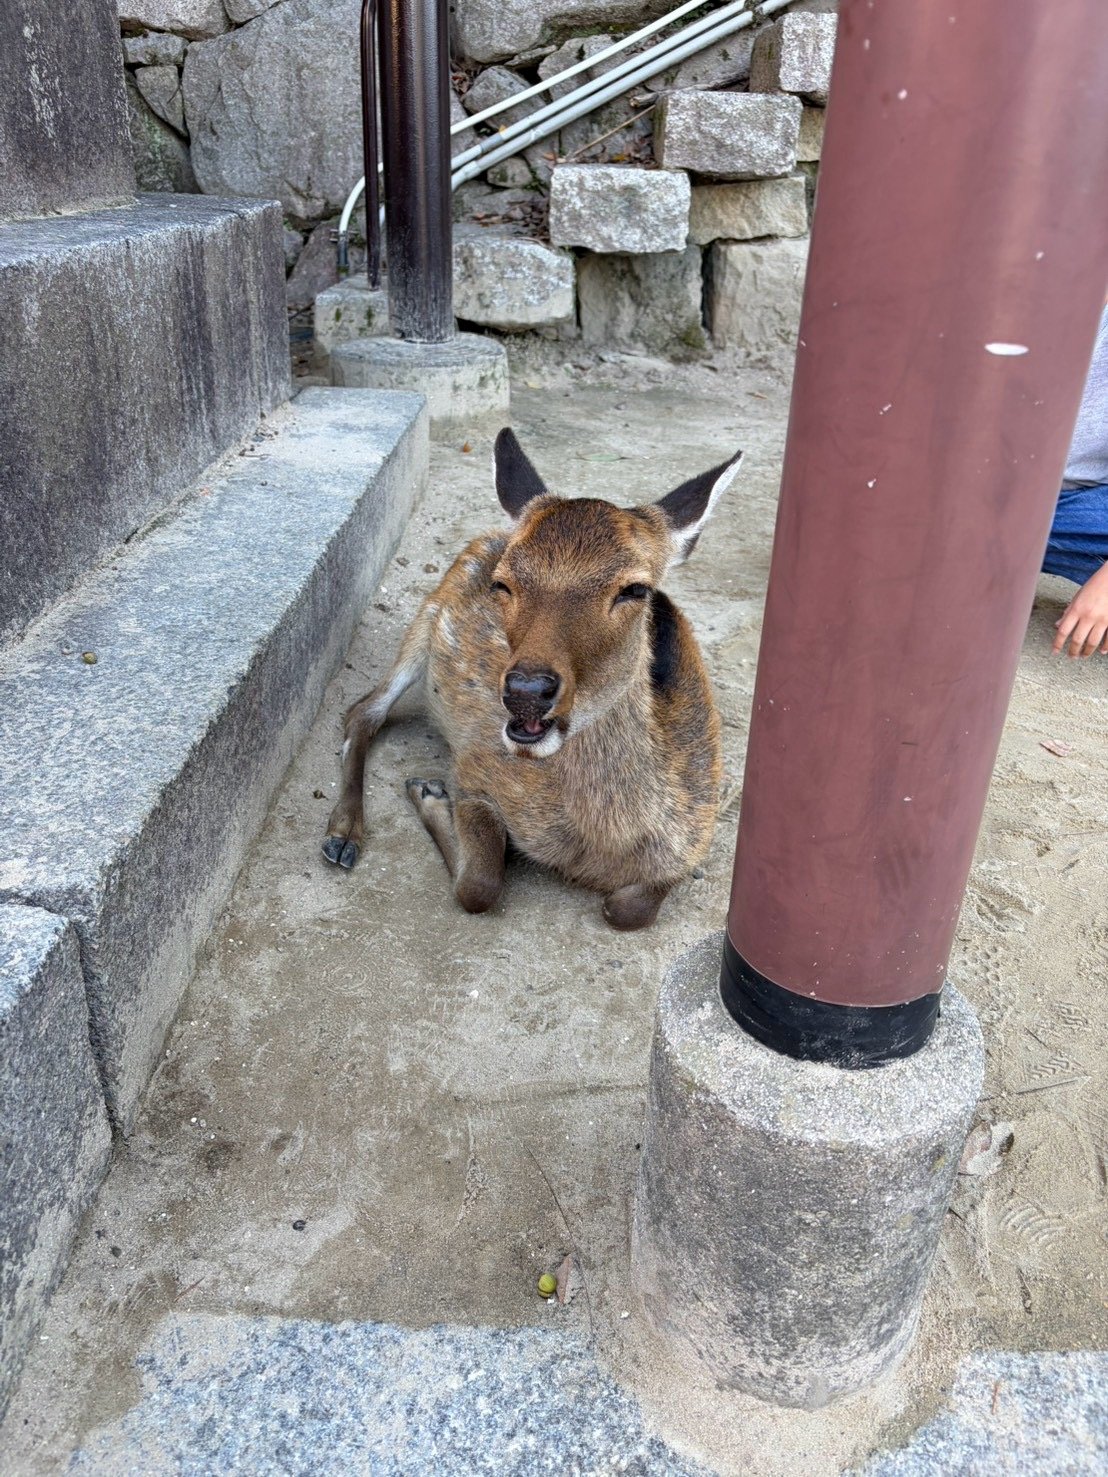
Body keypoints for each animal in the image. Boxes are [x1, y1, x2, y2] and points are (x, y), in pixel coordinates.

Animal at [321, 428, 743, 930]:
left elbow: (627, 909)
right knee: (363, 710)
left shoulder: (699, 832)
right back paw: (343, 835)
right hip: (426, 616)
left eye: (635, 589)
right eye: (502, 583)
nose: (526, 690)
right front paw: (429, 793)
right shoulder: (476, 765)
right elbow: (479, 885)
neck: (596, 845)